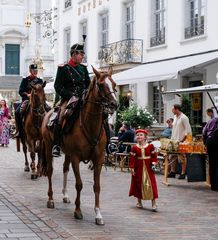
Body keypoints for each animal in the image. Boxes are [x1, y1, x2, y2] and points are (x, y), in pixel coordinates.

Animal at [40, 65, 117, 225]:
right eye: (101, 85)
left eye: (114, 84)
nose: (114, 104)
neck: (90, 124)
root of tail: (49, 112)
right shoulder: (76, 157)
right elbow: (79, 184)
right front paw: (78, 211)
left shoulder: (98, 159)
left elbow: (97, 186)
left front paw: (98, 214)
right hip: (50, 147)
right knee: (50, 171)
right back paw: (51, 199)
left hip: (67, 153)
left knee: (64, 169)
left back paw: (65, 195)